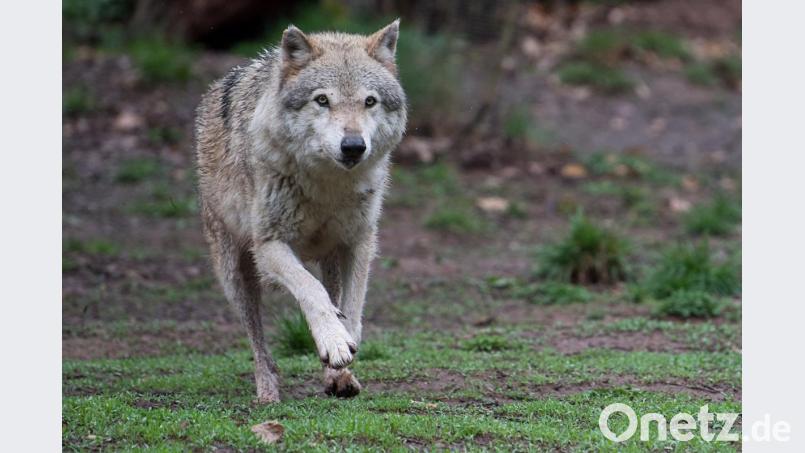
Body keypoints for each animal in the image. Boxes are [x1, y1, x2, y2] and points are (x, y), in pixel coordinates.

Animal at [195, 20, 406, 402]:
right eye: (322, 100)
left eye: (369, 101)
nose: (353, 146)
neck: (327, 184)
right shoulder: (269, 246)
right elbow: (311, 290)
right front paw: (333, 341)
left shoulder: (359, 243)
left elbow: (352, 308)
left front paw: (343, 348)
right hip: (235, 275)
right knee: (258, 343)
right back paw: (267, 392)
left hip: (329, 258)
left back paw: (339, 378)